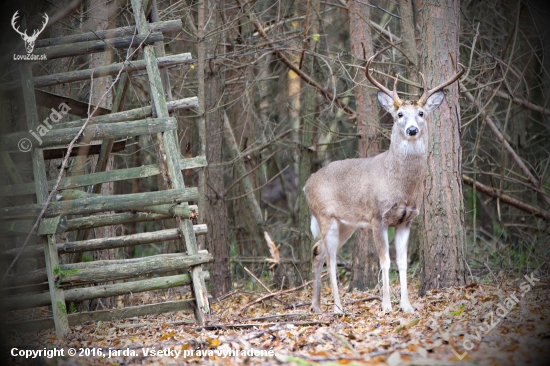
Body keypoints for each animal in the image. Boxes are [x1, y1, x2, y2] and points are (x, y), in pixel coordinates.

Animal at [306, 55, 466, 314]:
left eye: (421, 113)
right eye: (399, 114)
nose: (412, 130)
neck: (400, 186)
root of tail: (306, 184)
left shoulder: (406, 219)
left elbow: (402, 261)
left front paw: (407, 305)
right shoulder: (376, 216)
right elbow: (385, 260)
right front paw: (387, 305)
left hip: (345, 224)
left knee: (317, 250)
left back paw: (317, 306)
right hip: (325, 216)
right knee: (330, 257)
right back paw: (338, 307)